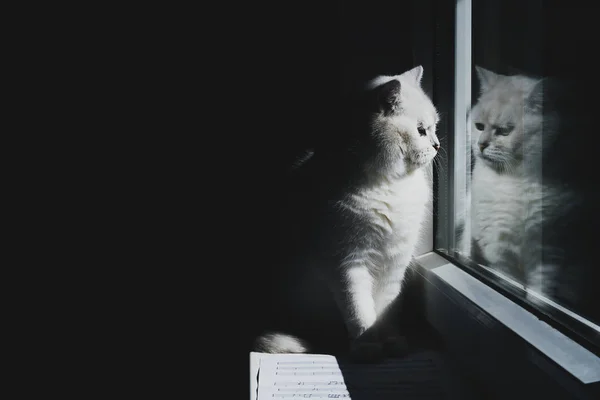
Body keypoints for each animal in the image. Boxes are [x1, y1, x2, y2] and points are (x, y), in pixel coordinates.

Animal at [254, 66, 440, 360]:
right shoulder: (348, 263)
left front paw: (392, 343)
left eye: (434, 128)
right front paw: (368, 348)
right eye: (421, 131)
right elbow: (361, 313)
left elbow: (386, 311)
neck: (389, 185)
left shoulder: (393, 263)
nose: (437, 146)